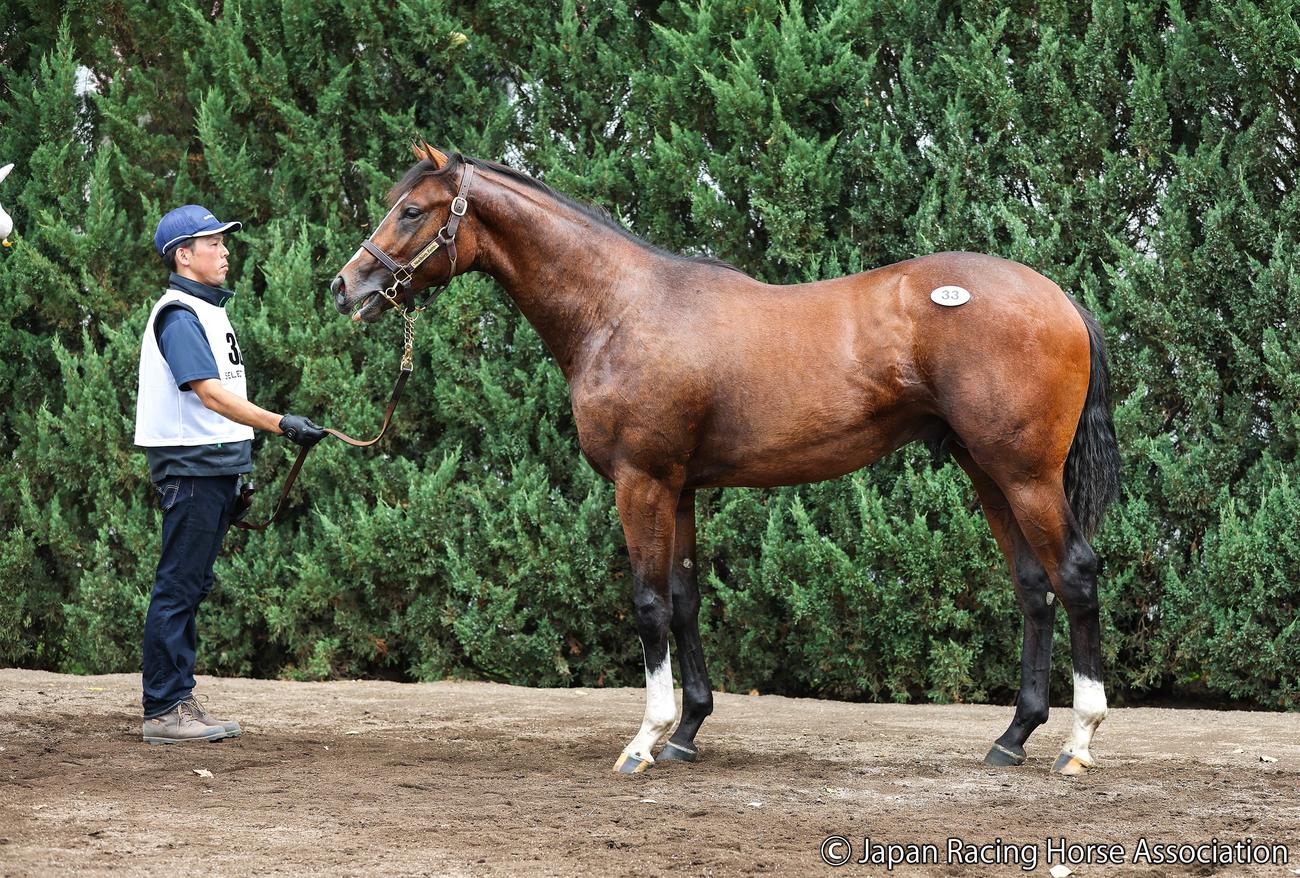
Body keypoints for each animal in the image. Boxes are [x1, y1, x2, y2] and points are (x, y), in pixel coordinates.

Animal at [329, 143, 1121, 776]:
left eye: (411, 211)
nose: (346, 286)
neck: (620, 308)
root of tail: (1061, 300)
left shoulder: (640, 483)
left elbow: (649, 603)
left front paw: (644, 741)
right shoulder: (678, 488)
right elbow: (684, 600)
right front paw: (687, 731)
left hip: (1024, 475)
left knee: (1075, 575)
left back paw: (1079, 742)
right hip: (988, 472)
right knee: (1033, 587)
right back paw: (1012, 738)